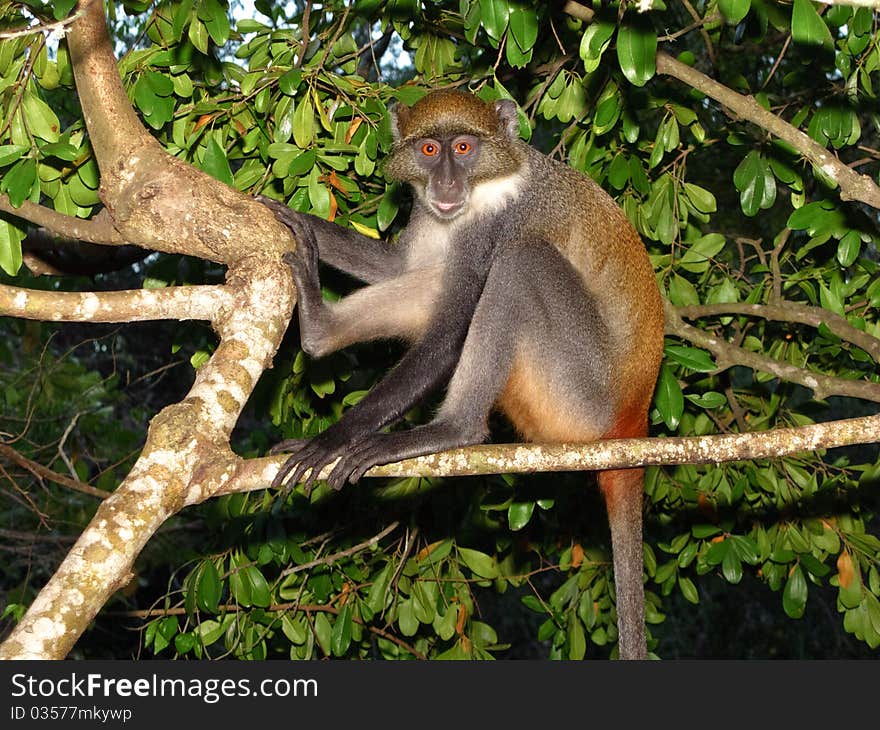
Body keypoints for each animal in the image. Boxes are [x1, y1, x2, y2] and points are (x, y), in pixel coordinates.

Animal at [258, 88, 664, 656]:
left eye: (465, 147)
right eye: (430, 149)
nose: (447, 183)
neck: (491, 181)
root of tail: (634, 418)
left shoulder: (496, 224)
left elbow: (451, 328)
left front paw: (332, 440)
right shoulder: (433, 215)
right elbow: (401, 268)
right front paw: (292, 218)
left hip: (583, 393)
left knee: (520, 264)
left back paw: (453, 429)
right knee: (435, 277)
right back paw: (319, 327)